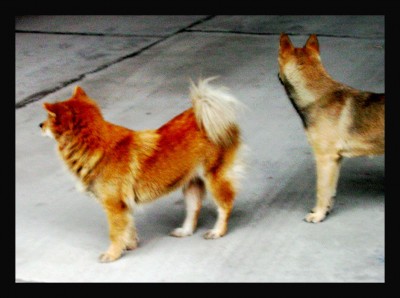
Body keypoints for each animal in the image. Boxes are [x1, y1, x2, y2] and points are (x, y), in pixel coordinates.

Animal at [39, 78, 244, 264]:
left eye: (49, 118)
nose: (40, 125)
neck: (96, 146)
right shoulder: (124, 206)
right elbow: (129, 227)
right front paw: (129, 244)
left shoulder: (114, 206)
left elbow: (115, 233)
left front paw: (113, 254)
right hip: (191, 183)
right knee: (194, 209)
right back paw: (185, 231)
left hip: (215, 178)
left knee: (225, 205)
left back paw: (217, 231)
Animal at [278, 33, 384, 222]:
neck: (317, 96)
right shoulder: (335, 160)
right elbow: (330, 191)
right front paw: (325, 211)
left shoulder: (324, 159)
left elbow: (321, 190)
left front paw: (318, 215)